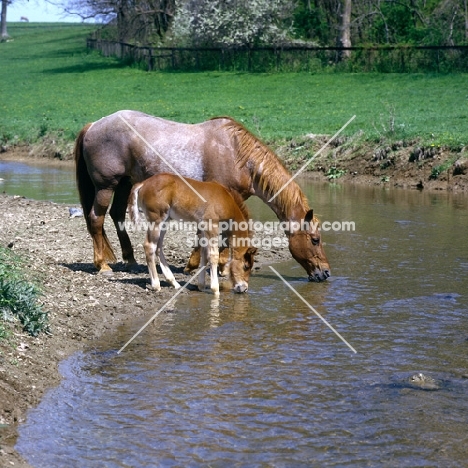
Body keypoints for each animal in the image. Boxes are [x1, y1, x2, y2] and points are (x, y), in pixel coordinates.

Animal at [127, 172, 256, 296]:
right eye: (246, 266)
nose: (244, 288)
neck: (227, 202)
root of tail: (143, 183)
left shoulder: (203, 228)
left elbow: (204, 254)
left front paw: (201, 286)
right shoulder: (211, 226)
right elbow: (213, 256)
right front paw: (216, 290)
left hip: (165, 221)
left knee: (158, 247)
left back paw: (174, 283)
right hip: (157, 219)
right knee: (149, 246)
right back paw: (156, 285)